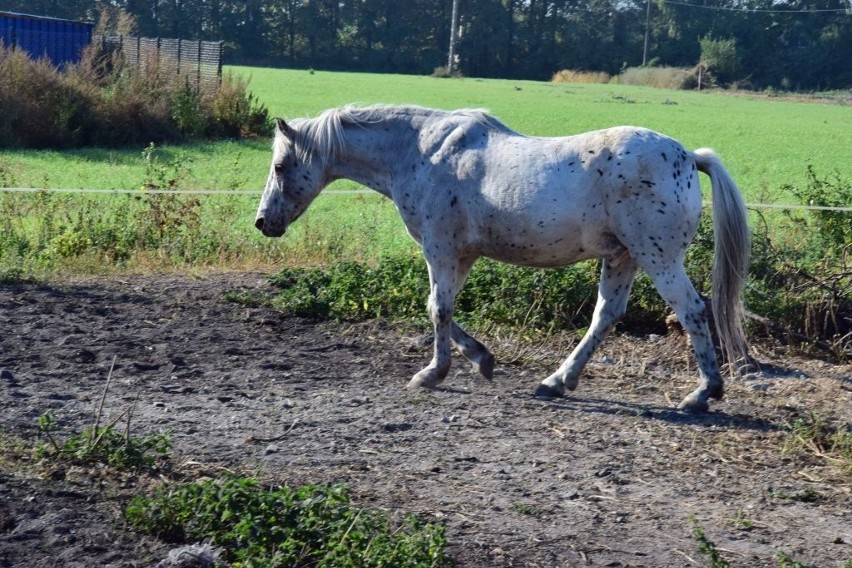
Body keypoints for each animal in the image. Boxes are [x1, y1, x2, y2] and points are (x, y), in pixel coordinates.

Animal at [256, 104, 748, 410]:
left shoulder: (440, 248)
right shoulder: (463, 255)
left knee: (692, 309)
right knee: (605, 316)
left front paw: (432, 374)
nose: (263, 222)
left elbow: (438, 308)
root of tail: (688, 157)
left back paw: (703, 394)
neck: (420, 152)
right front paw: (481, 359)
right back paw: (556, 382)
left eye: (280, 166)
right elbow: (441, 309)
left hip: (657, 257)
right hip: (622, 258)